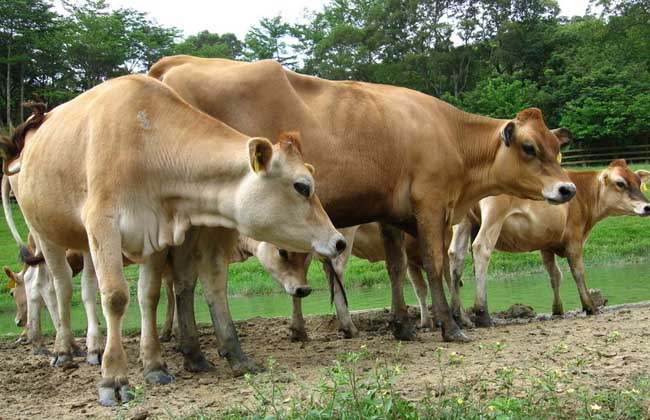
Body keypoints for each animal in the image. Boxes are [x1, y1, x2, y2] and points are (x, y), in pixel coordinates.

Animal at [5, 74, 344, 406]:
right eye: (302, 186)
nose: (338, 241)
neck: (145, 143)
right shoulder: (103, 224)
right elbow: (115, 297)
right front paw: (114, 378)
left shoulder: (155, 233)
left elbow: (149, 295)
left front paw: (154, 365)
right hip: (44, 230)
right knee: (58, 287)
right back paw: (64, 349)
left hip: (86, 246)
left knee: (87, 289)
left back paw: (92, 347)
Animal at [149, 55, 576, 356]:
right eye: (528, 147)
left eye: (555, 149)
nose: (568, 188)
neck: (448, 132)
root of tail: (176, 63)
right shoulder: (431, 204)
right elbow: (435, 265)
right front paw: (451, 327)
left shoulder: (389, 212)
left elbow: (396, 267)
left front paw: (403, 326)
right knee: (198, 277)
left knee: (180, 280)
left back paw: (191, 350)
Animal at [446, 159, 648, 326]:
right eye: (620, 183)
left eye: (639, 182)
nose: (647, 207)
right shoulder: (574, 237)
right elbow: (577, 271)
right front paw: (590, 306)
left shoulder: (546, 244)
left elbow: (555, 275)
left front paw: (557, 310)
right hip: (494, 216)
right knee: (481, 248)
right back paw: (482, 314)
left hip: (463, 221)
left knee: (456, 255)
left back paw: (461, 316)